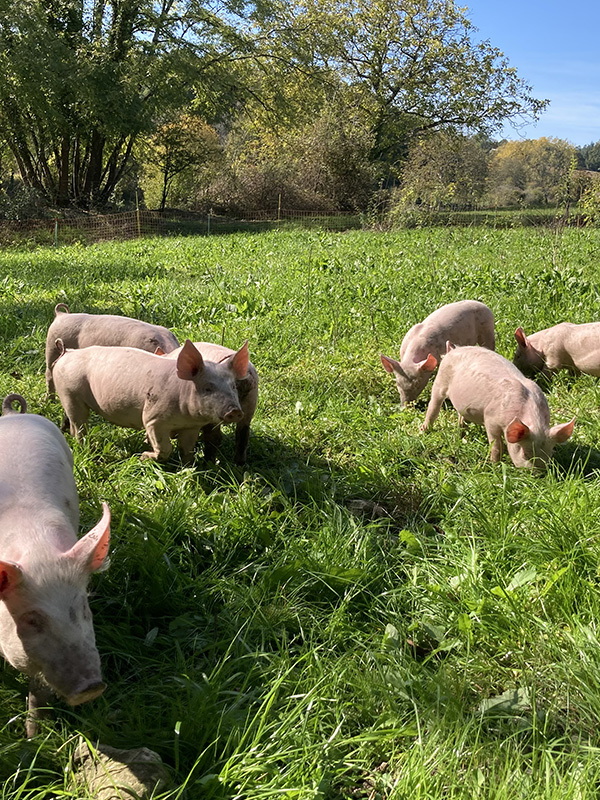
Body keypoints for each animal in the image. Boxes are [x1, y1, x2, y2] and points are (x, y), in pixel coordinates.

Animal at [0, 390, 110, 736]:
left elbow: (38, 690)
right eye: (32, 619)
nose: (91, 687)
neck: (35, 546)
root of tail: (14, 414)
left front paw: (34, 736)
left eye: (84, 607)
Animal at [51, 338, 247, 462]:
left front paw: (188, 467)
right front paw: (143, 456)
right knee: (79, 427)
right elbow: (164, 448)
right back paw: (90, 451)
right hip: (70, 394)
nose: (235, 411)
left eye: (233, 386)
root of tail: (67, 352)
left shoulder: (191, 427)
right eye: (208, 388)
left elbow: (187, 449)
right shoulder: (153, 419)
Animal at [420, 344, 576, 468]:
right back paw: (424, 431)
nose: (539, 475)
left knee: (461, 416)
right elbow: (496, 445)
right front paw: (494, 465)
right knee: (433, 407)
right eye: (525, 454)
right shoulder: (490, 419)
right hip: (440, 381)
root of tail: (453, 350)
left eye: (550, 454)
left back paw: (462, 435)